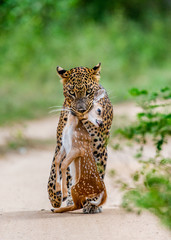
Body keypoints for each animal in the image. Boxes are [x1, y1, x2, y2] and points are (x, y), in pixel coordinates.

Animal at [47, 63, 113, 214]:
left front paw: (92, 204)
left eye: (88, 92)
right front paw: (54, 195)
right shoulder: (61, 144)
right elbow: (54, 168)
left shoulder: (99, 148)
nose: (81, 110)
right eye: (72, 93)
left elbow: (97, 176)